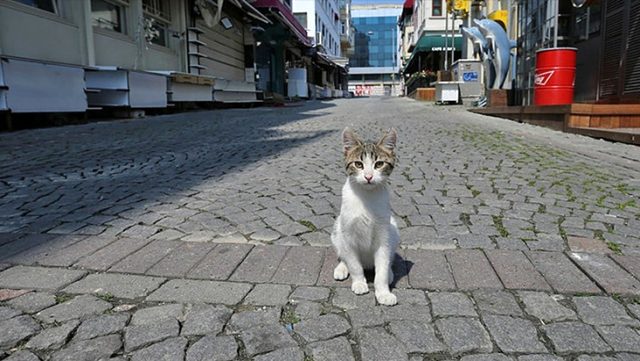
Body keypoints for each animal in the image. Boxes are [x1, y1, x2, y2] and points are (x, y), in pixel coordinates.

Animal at [330, 126, 400, 304]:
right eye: (358, 164)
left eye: (379, 164)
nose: (368, 176)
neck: (367, 197)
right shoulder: (347, 234)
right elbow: (354, 264)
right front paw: (360, 283)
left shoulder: (384, 237)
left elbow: (382, 269)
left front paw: (383, 293)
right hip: (336, 230)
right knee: (343, 254)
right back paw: (342, 268)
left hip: (394, 230)